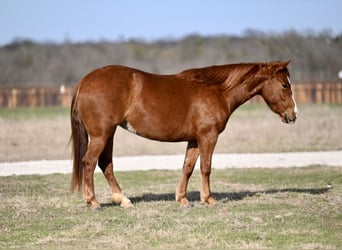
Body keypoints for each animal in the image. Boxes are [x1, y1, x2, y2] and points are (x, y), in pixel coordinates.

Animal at [69, 61, 296, 210]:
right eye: (285, 85)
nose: (293, 115)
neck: (216, 91)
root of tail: (84, 81)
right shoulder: (208, 136)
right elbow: (206, 167)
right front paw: (209, 199)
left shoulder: (194, 140)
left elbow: (187, 167)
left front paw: (183, 199)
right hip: (102, 134)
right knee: (89, 162)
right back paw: (93, 202)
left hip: (109, 134)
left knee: (105, 164)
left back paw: (123, 200)